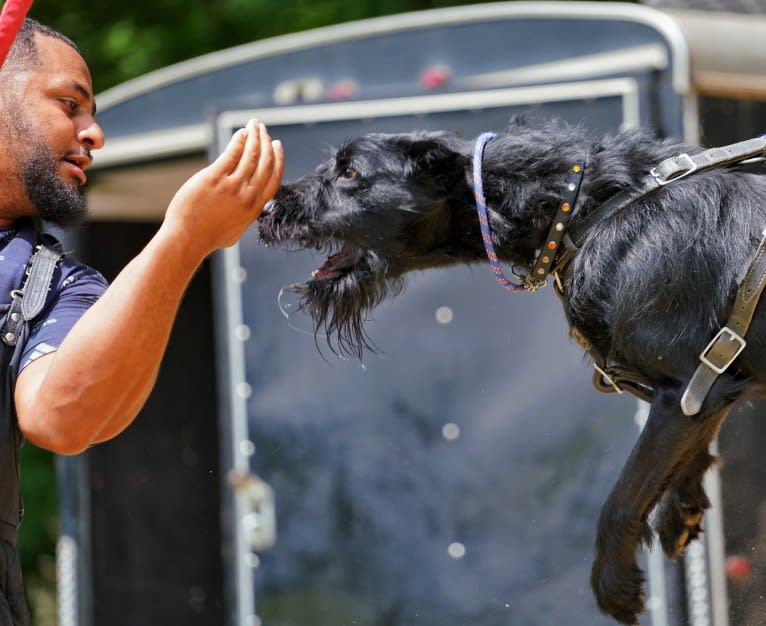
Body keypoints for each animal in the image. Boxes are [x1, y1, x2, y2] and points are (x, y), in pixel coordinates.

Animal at [258, 118, 766, 624]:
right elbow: (688, 454)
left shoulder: (683, 388)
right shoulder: (697, 394)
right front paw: (682, 511)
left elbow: (622, 498)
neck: (581, 207)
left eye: (349, 172)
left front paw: (614, 584)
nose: (263, 210)